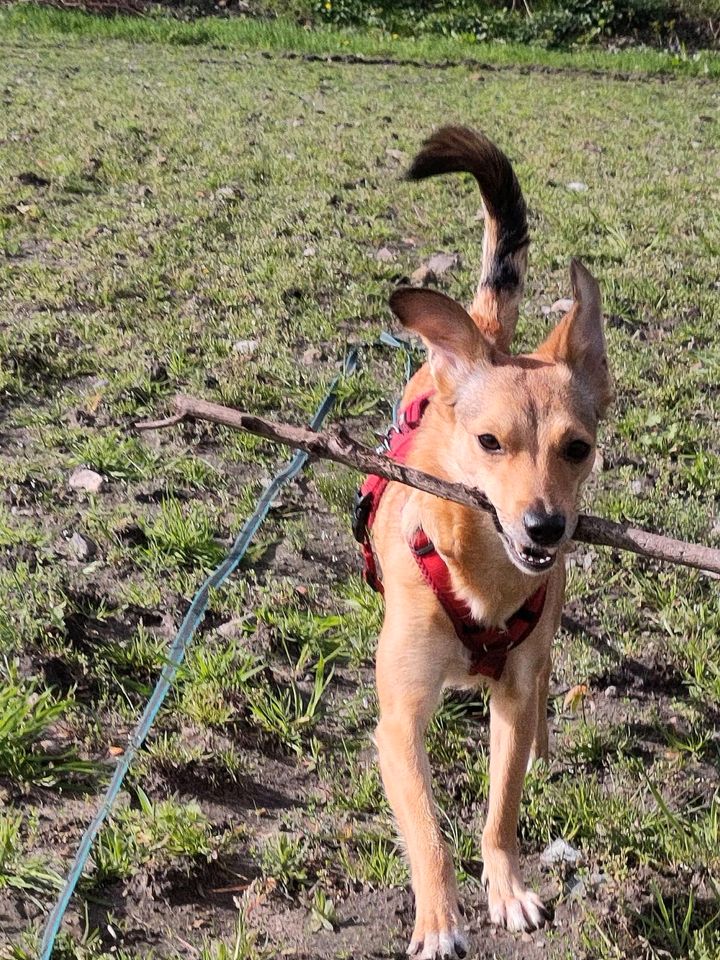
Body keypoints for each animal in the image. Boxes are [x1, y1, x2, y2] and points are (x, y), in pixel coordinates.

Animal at [358, 127, 612, 960]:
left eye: (577, 448)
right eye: (490, 443)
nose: (546, 527)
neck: (486, 579)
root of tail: (483, 336)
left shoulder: (511, 692)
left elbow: (502, 805)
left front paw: (505, 888)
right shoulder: (399, 721)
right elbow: (426, 830)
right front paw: (439, 920)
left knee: (541, 693)